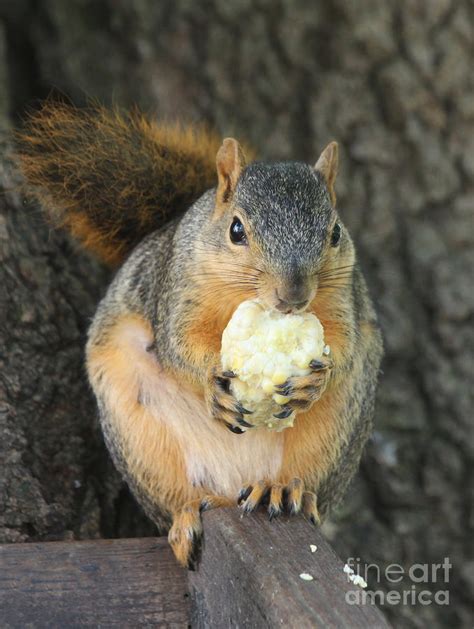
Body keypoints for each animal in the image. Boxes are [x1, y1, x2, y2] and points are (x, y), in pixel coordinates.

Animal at [15, 102, 386, 564]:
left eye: (335, 232)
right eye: (236, 230)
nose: (294, 295)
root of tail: (235, 485)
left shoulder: (343, 298)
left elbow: (345, 346)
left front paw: (314, 381)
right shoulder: (179, 288)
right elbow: (177, 345)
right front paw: (211, 382)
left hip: (337, 433)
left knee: (305, 476)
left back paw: (281, 488)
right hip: (140, 436)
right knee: (181, 495)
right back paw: (188, 514)